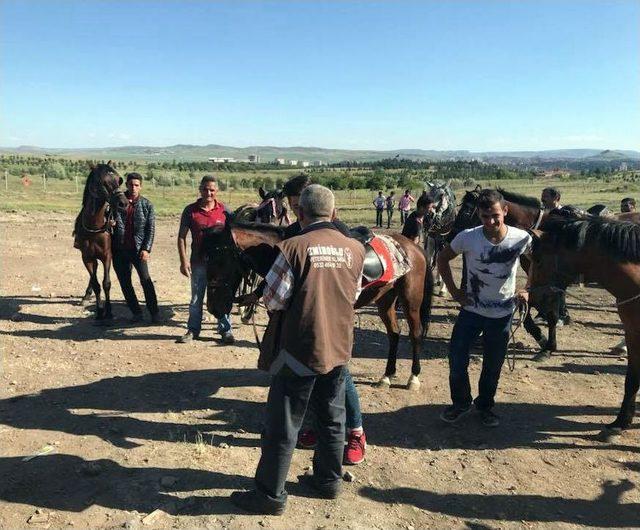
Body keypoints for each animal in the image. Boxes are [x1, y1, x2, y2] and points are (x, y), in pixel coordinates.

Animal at [74, 161, 129, 318]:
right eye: (102, 182)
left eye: (119, 180)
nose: (123, 203)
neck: (94, 226)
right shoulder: (86, 257)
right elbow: (96, 284)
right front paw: (99, 311)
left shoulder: (107, 256)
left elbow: (106, 283)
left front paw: (109, 311)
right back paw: (87, 295)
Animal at [205, 216, 436, 388]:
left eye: (220, 260)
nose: (213, 307)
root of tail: (413, 247)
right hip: (385, 299)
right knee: (394, 333)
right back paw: (387, 376)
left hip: (410, 300)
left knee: (415, 333)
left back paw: (413, 377)